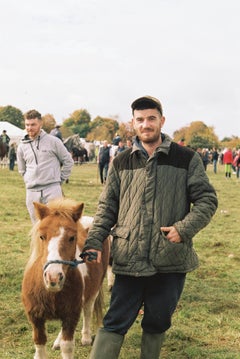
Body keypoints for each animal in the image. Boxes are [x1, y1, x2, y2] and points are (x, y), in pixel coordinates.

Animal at [21, 198, 109, 359]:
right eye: (41, 236)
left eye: (72, 237)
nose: (53, 277)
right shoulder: (35, 318)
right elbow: (39, 344)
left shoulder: (71, 315)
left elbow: (67, 346)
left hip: (94, 291)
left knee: (88, 310)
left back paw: (86, 338)